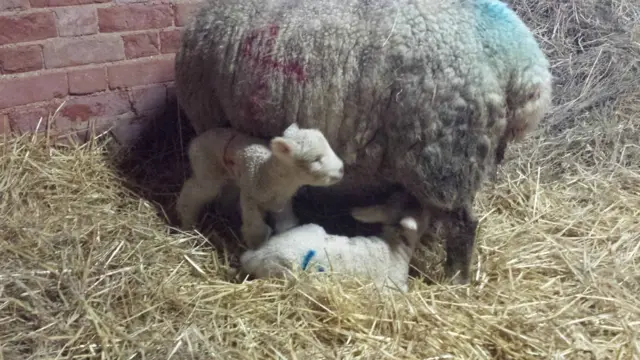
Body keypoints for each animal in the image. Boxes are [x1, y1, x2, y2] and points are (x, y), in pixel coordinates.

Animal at [175, 122, 344, 246]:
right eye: (316, 159)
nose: (341, 170)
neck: (265, 172)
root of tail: (196, 140)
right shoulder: (249, 197)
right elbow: (256, 228)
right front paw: (256, 245)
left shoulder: (282, 203)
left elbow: (286, 225)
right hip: (207, 171)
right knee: (192, 193)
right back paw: (187, 222)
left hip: (230, 178)